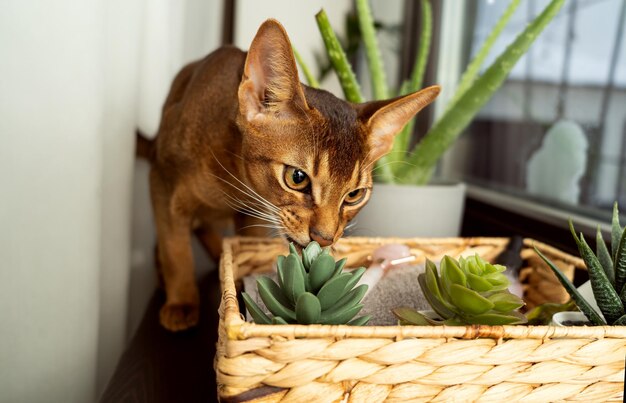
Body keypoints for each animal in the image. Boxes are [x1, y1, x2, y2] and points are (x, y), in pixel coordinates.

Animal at [141, 19, 436, 332]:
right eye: (297, 177)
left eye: (354, 195)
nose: (324, 239)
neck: (229, 181)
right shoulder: (161, 182)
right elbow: (176, 249)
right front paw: (181, 302)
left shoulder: (252, 215)